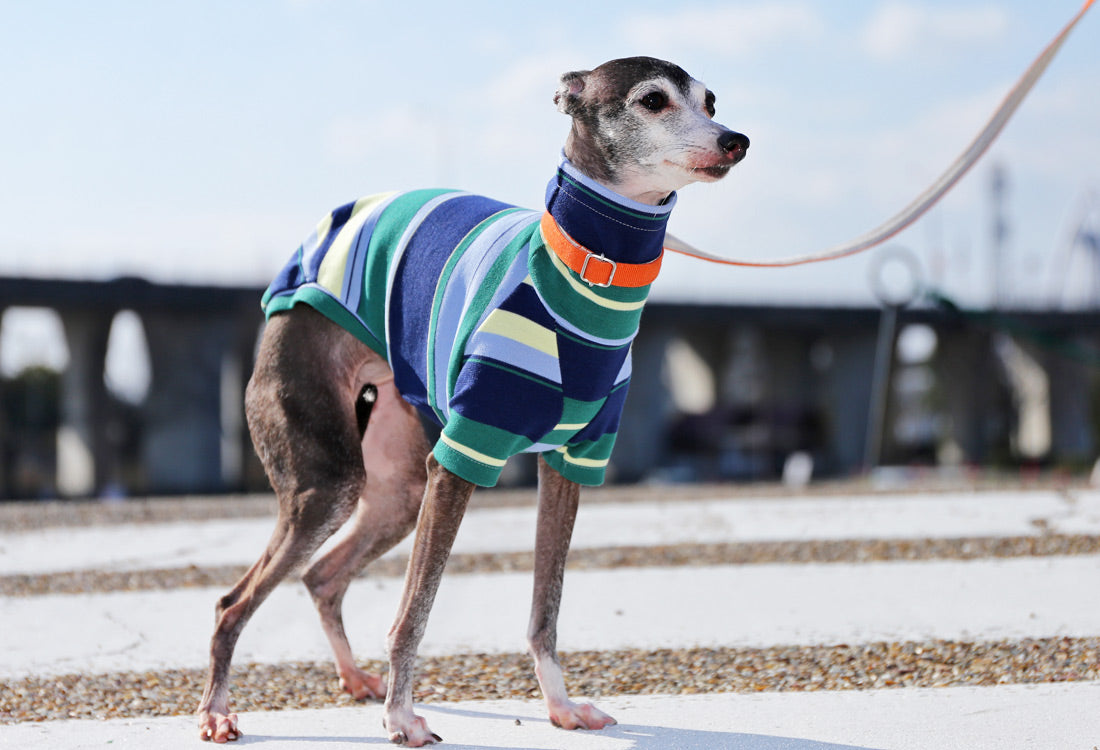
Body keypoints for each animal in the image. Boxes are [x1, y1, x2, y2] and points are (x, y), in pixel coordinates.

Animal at [198, 56, 748, 743]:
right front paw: (401, 718)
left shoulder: (571, 464)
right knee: (233, 601)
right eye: (653, 100)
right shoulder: (461, 459)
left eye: (710, 100)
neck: (588, 269)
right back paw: (218, 710)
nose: (735, 140)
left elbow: (546, 609)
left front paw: (560, 706)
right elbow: (414, 612)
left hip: (400, 486)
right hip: (328, 482)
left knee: (322, 577)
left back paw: (353, 679)